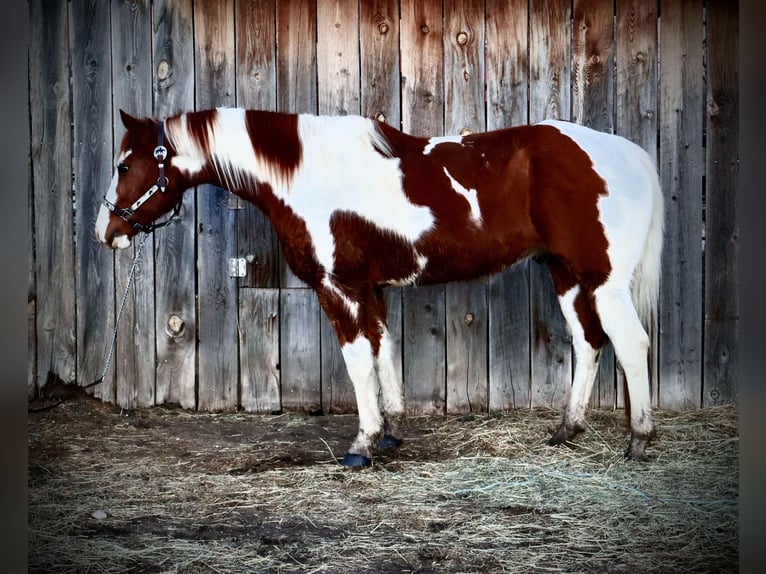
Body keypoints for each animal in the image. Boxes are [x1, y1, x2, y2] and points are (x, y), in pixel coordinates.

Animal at [97, 108, 664, 468]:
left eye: (125, 164)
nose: (108, 231)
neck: (308, 174)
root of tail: (631, 155)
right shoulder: (372, 288)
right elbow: (381, 349)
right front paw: (391, 431)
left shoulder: (337, 286)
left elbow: (356, 361)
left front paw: (363, 444)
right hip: (565, 273)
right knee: (589, 342)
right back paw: (567, 430)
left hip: (603, 279)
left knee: (631, 343)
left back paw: (639, 440)